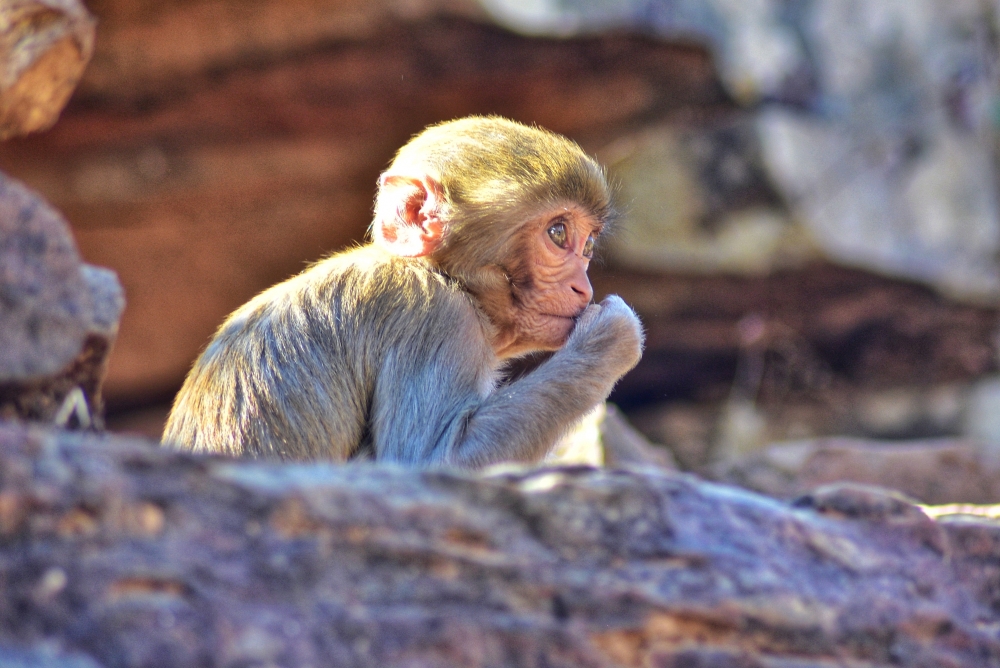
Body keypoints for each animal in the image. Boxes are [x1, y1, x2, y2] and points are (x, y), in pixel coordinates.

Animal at [162, 116, 644, 468]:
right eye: (558, 233)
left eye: (588, 244)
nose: (584, 286)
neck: (439, 275)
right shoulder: (436, 317)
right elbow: (428, 459)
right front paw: (612, 337)